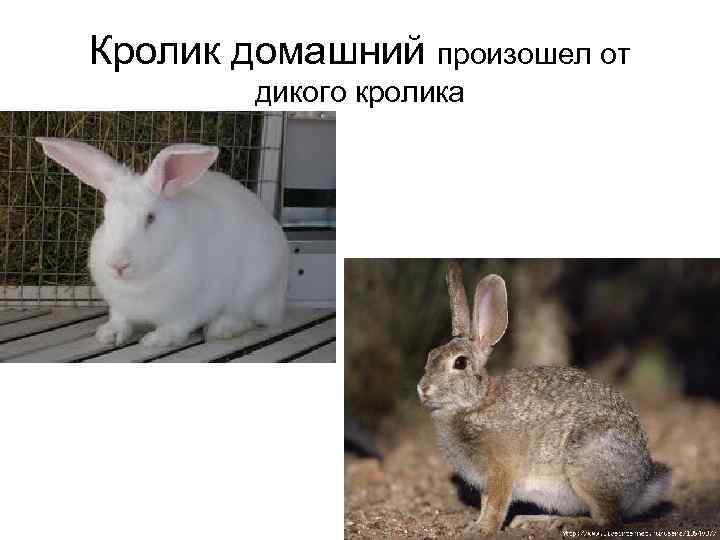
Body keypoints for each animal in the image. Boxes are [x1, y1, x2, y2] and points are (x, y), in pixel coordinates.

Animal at [36, 138, 289, 348]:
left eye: (150, 218)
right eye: (106, 217)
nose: (118, 265)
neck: (138, 283)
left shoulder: (191, 307)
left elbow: (176, 327)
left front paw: (155, 340)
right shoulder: (119, 306)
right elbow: (119, 319)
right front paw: (108, 334)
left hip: (253, 288)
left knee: (248, 318)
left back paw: (220, 330)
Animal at [417, 262, 671, 534]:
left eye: (460, 363)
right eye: (430, 355)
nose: (423, 389)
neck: (475, 403)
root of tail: (641, 483)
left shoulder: (501, 472)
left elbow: (496, 506)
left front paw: (481, 529)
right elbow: (486, 503)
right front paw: (477, 524)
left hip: (586, 467)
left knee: (609, 520)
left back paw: (567, 524)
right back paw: (533, 520)